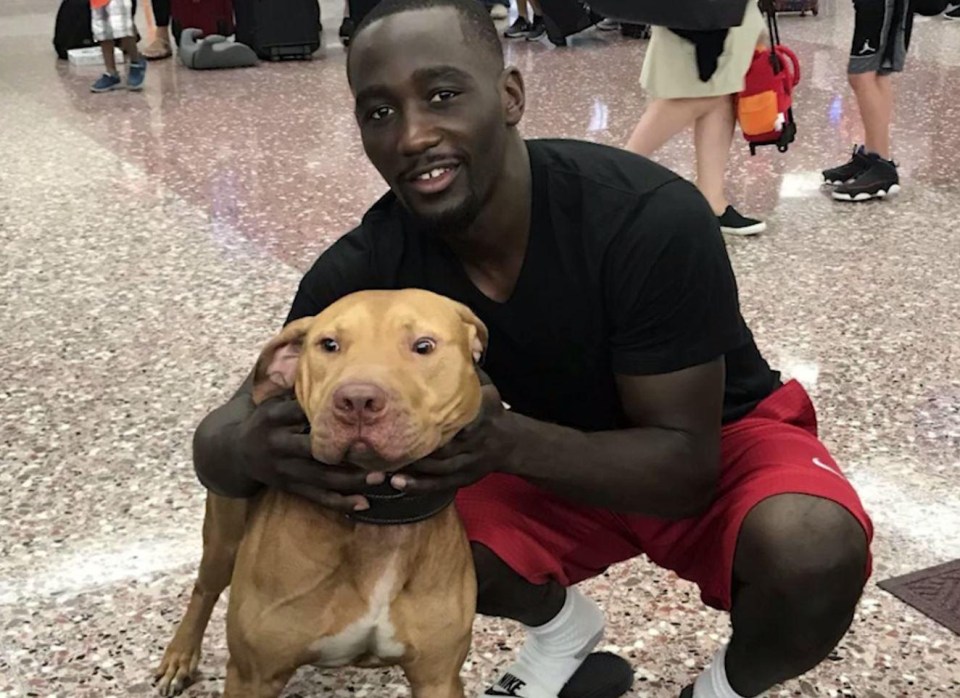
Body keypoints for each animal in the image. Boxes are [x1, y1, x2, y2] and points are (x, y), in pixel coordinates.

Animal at [159, 288, 488, 696]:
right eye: (328, 345)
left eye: (423, 345)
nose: (358, 399)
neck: (380, 520)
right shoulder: (253, 674)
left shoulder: (438, 677)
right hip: (223, 539)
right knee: (204, 590)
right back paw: (180, 656)